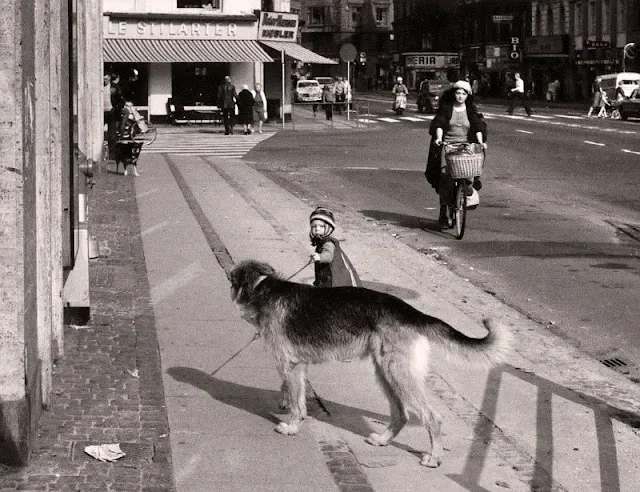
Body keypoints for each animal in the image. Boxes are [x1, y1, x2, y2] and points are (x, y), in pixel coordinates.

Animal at [229, 260, 510, 468]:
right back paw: (383, 440)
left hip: (398, 374)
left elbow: (297, 401)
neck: (262, 288)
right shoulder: (297, 367)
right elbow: (292, 393)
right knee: (402, 414)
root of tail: (412, 313)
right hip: (385, 374)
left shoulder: (291, 364)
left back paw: (434, 457)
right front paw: (286, 406)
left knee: (432, 417)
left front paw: (291, 425)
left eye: (231, 282)